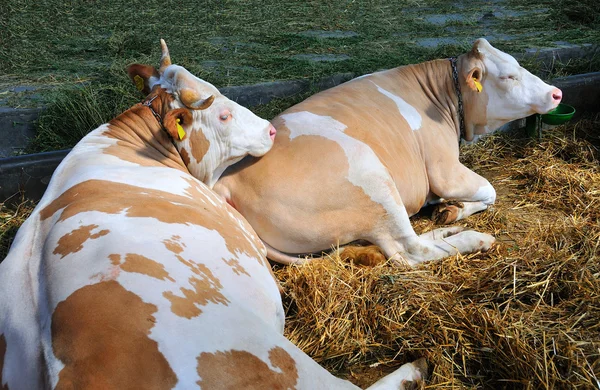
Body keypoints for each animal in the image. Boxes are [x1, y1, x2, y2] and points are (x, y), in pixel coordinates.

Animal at [214, 38, 564, 266]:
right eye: (509, 75)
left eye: (518, 65)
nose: (556, 93)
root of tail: (228, 180)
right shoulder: (445, 170)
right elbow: (490, 191)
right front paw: (458, 206)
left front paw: (449, 208)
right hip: (374, 180)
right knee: (409, 251)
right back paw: (474, 239)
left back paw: (448, 226)